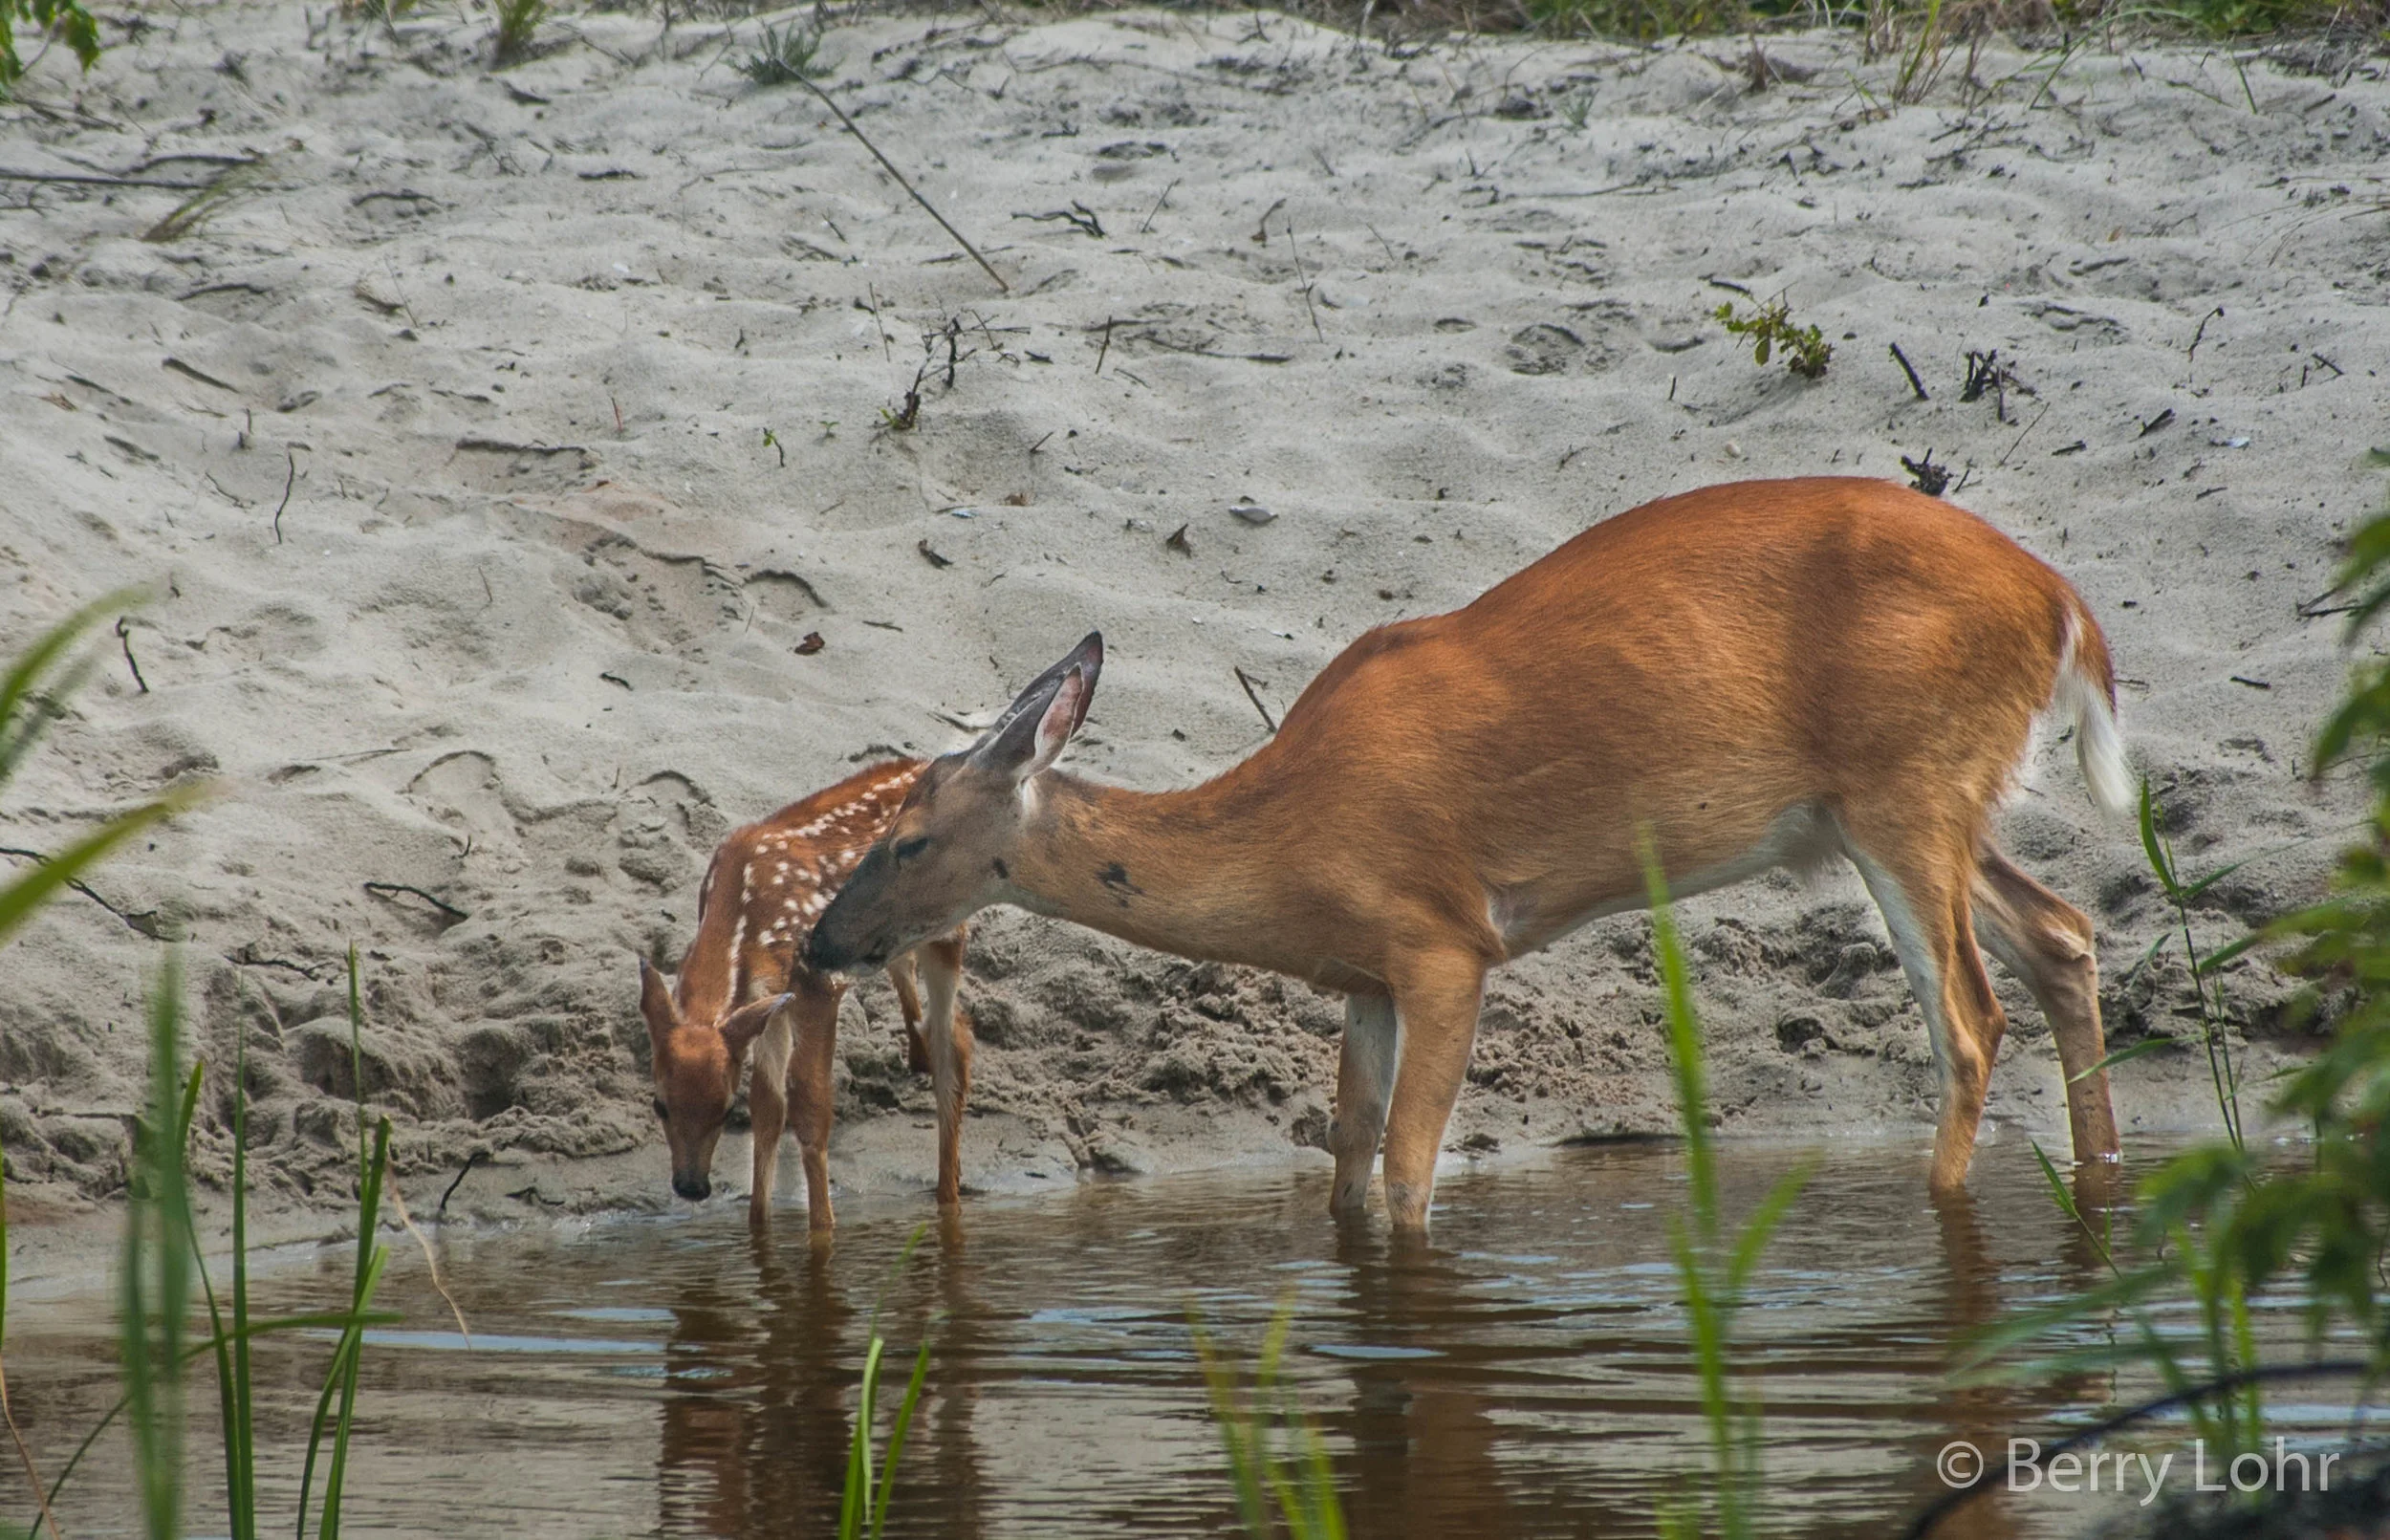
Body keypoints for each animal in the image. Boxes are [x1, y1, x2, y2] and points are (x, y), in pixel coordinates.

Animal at [636, 758, 972, 1232]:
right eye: (659, 1104)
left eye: (724, 1110)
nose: (691, 1186)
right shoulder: (771, 999)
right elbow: (768, 1109)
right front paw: (758, 1227)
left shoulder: (817, 983)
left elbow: (810, 1109)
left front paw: (823, 1229)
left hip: (948, 930)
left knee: (954, 1044)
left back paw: (948, 1197)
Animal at [804, 478, 2133, 1235]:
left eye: (906, 839)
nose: (821, 941)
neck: (1289, 840)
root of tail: (2062, 602)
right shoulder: (1366, 978)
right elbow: (1345, 1155)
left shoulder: (1444, 944)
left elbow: (1407, 1168)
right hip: (1916, 803)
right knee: (2064, 935)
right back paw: (2100, 1180)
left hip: (1904, 790)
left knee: (1969, 1018)